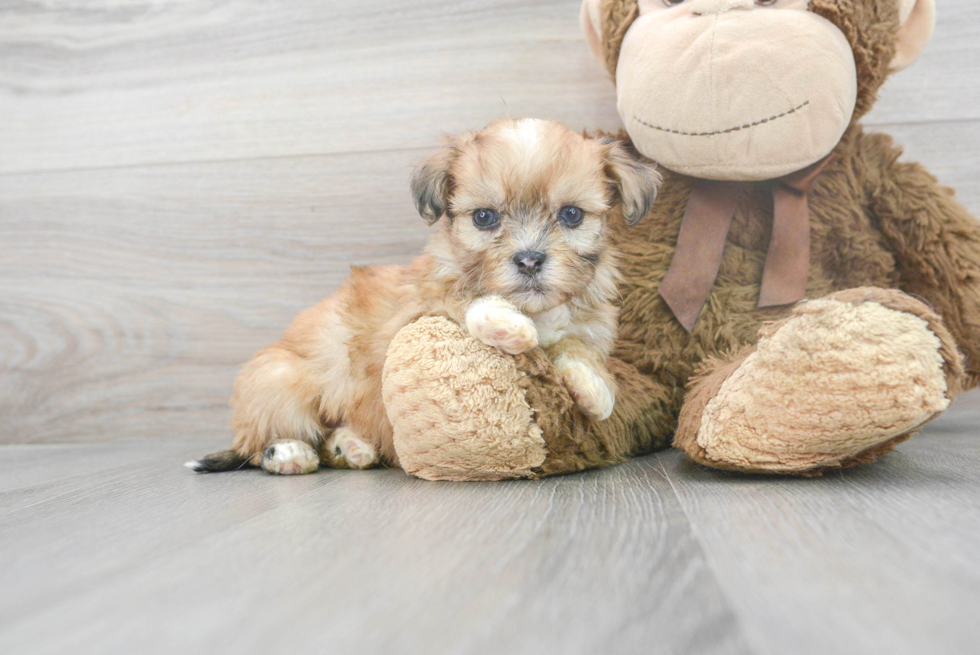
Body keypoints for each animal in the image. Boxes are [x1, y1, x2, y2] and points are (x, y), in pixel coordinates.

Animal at [186, 119, 660, 476]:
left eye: (572, 215)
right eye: (484, 217)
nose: (529, 260)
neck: (537, 309)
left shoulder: (585, 324)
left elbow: (576, 345)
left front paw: (594, 387)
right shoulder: (411, 315)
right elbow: (459, 298)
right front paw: (506, 323)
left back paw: (351, 447)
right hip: (280, 382)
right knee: (262, 444)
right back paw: (289, 453)